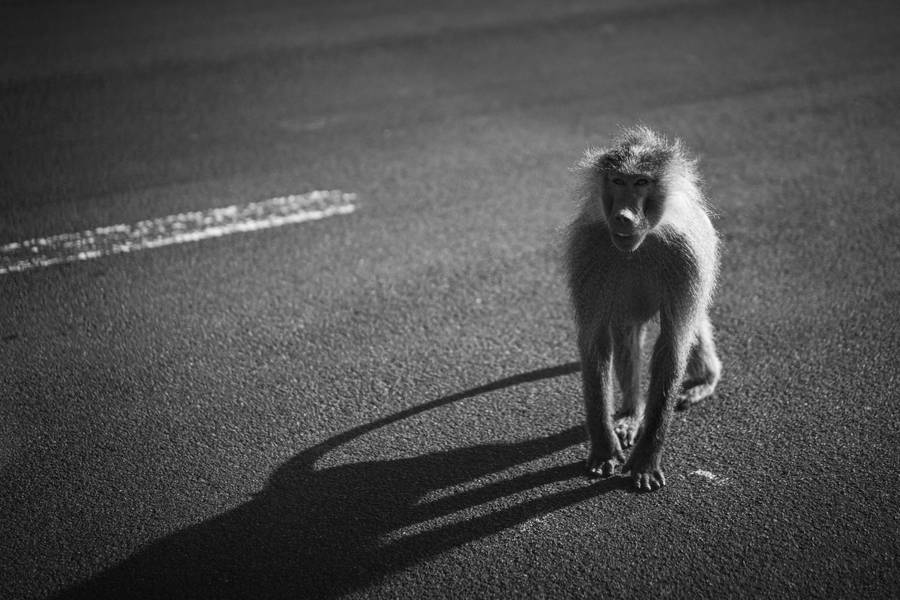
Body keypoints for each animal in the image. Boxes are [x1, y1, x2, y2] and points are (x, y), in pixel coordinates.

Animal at [565, 125, 722, 492]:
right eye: (617, 181)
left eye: (640, 182)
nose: (623, 216)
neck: (645, 240)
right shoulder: (588, 250)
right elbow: (595, 343)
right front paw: (605, 448)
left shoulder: (687, 257)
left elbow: (672, 345)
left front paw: (646, 460)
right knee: (626, 331)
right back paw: (631, 415)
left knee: (692, 326)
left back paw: (704, 381)